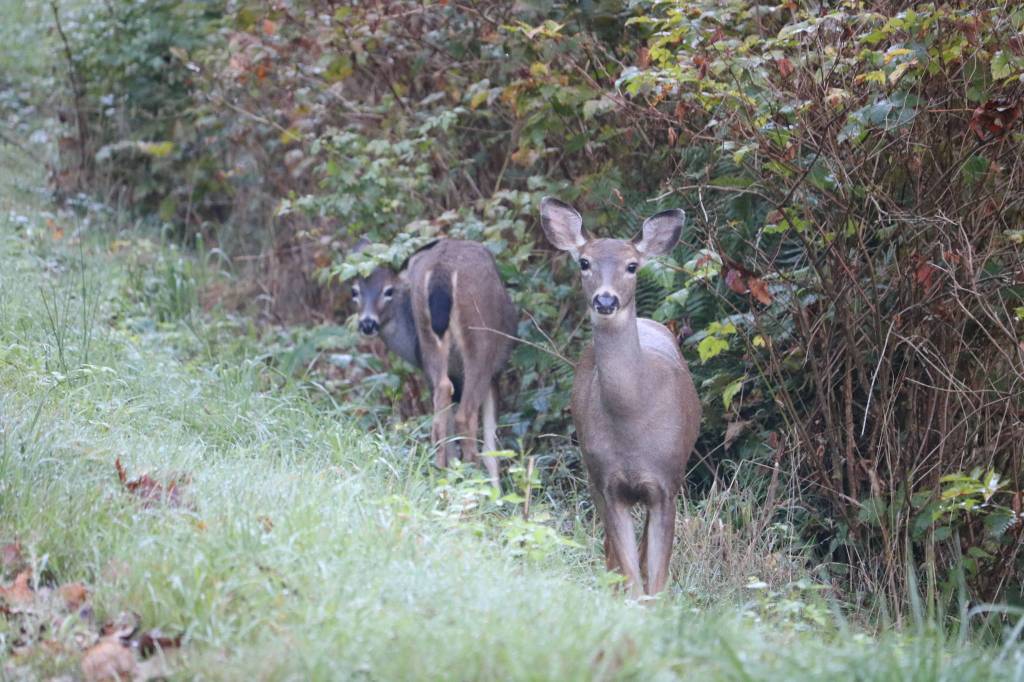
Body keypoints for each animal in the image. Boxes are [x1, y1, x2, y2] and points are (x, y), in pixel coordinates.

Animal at [349, 239, 518, 488]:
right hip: (480, 341)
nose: (367, 323)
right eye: (355, 291)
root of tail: (442, 271)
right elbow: (491, 449)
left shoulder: (429, 372)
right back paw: (471, 479)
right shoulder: (495, 374)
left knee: (442, 398)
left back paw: (442, 476)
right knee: (464, 416)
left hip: (429, 336)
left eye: (388, 291)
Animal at [539, 197, 701, 597]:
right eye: (584, 262)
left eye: (632, 265)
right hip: (589, 468)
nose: (606, 299)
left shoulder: (666, 483)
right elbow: (631, 578)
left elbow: (655, 582)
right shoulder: (607, 482)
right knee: (610, 552)